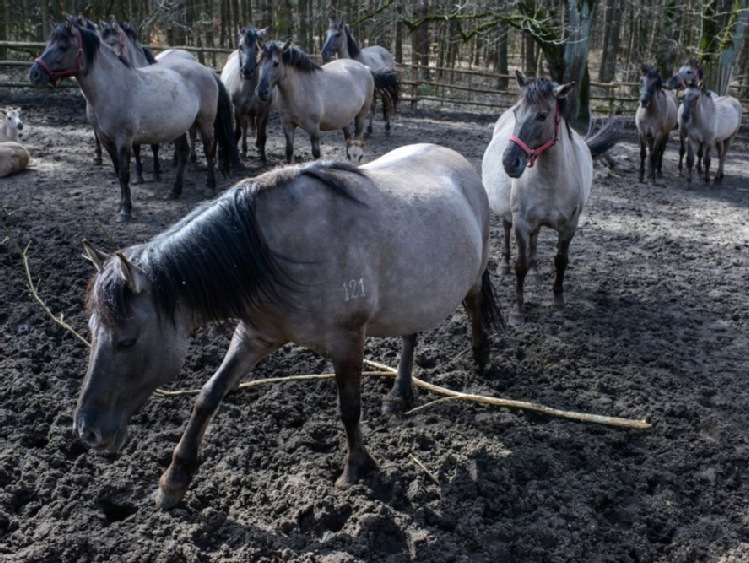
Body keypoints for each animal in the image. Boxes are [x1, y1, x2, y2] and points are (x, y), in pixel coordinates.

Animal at [29, 18, 235, 220]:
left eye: (63, 46)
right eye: (48, 44)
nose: (34, 74)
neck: (111, 88)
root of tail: (206, 70)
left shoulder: (124, 139)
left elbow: (125, 173)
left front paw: (126, 210)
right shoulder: (106, 140)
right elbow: (117, 171)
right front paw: (121, 205)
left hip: (205, 122)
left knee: (209, 150)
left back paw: (210, 187)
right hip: (179, 126)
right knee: (183, 153)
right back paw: (174, 191)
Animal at [76, 144, 500, 512]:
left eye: (127, 341)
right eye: (93, 332)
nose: (87, 431)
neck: (277, 251)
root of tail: (456, 160)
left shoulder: (348, 339)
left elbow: (349, 408)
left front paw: (355, 470)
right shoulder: (254, 336)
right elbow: (208, 395)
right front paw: (173, 481)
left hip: (473, 273)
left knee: (476, 301)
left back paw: (480, 356)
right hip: (414, 296)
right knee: (411, 333)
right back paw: (399, 395)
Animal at [219, 26, 272, 163]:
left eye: (257, 48)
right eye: (240, 46)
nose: (247, 71)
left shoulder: (264, 110)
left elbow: (263, 134)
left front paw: (263, 157)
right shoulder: (238, 110)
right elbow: (238, 132)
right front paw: (239, 154)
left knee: (256, 127)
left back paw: (257, 148)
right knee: (244, 128)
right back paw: (243, 150)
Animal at [482, 71, 624, 326]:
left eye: (542, 115)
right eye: (517, 112)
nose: (509, 161)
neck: (551, 180)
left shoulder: (569, 226)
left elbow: (560, 260)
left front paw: (558, 302)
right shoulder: (521, 223)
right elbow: (520, 265)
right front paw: (517, 311)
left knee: (536, 239)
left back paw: (536, 273)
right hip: (507, 214)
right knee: (506, 230)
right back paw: (504, 266)